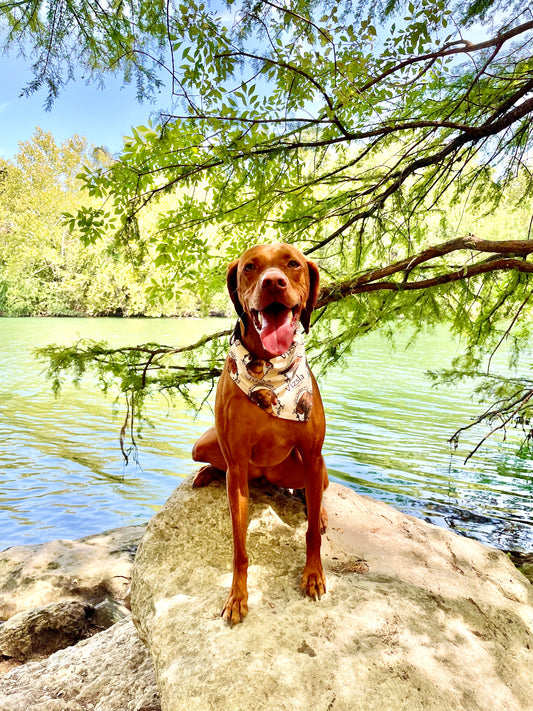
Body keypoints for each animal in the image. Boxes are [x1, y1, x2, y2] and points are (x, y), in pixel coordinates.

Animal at [189, 243, 326, 624]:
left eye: (293, 263)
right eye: (250, 267)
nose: (273, 282)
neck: (269, 369)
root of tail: (266, 476)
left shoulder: (312, 455)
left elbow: (311, 533)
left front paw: (313, 575)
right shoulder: (236, 467)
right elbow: (239, 548)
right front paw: (237, 595)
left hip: (306, 467)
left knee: (322, 488)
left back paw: (321, 511)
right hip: (208, 448)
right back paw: (207, 472)